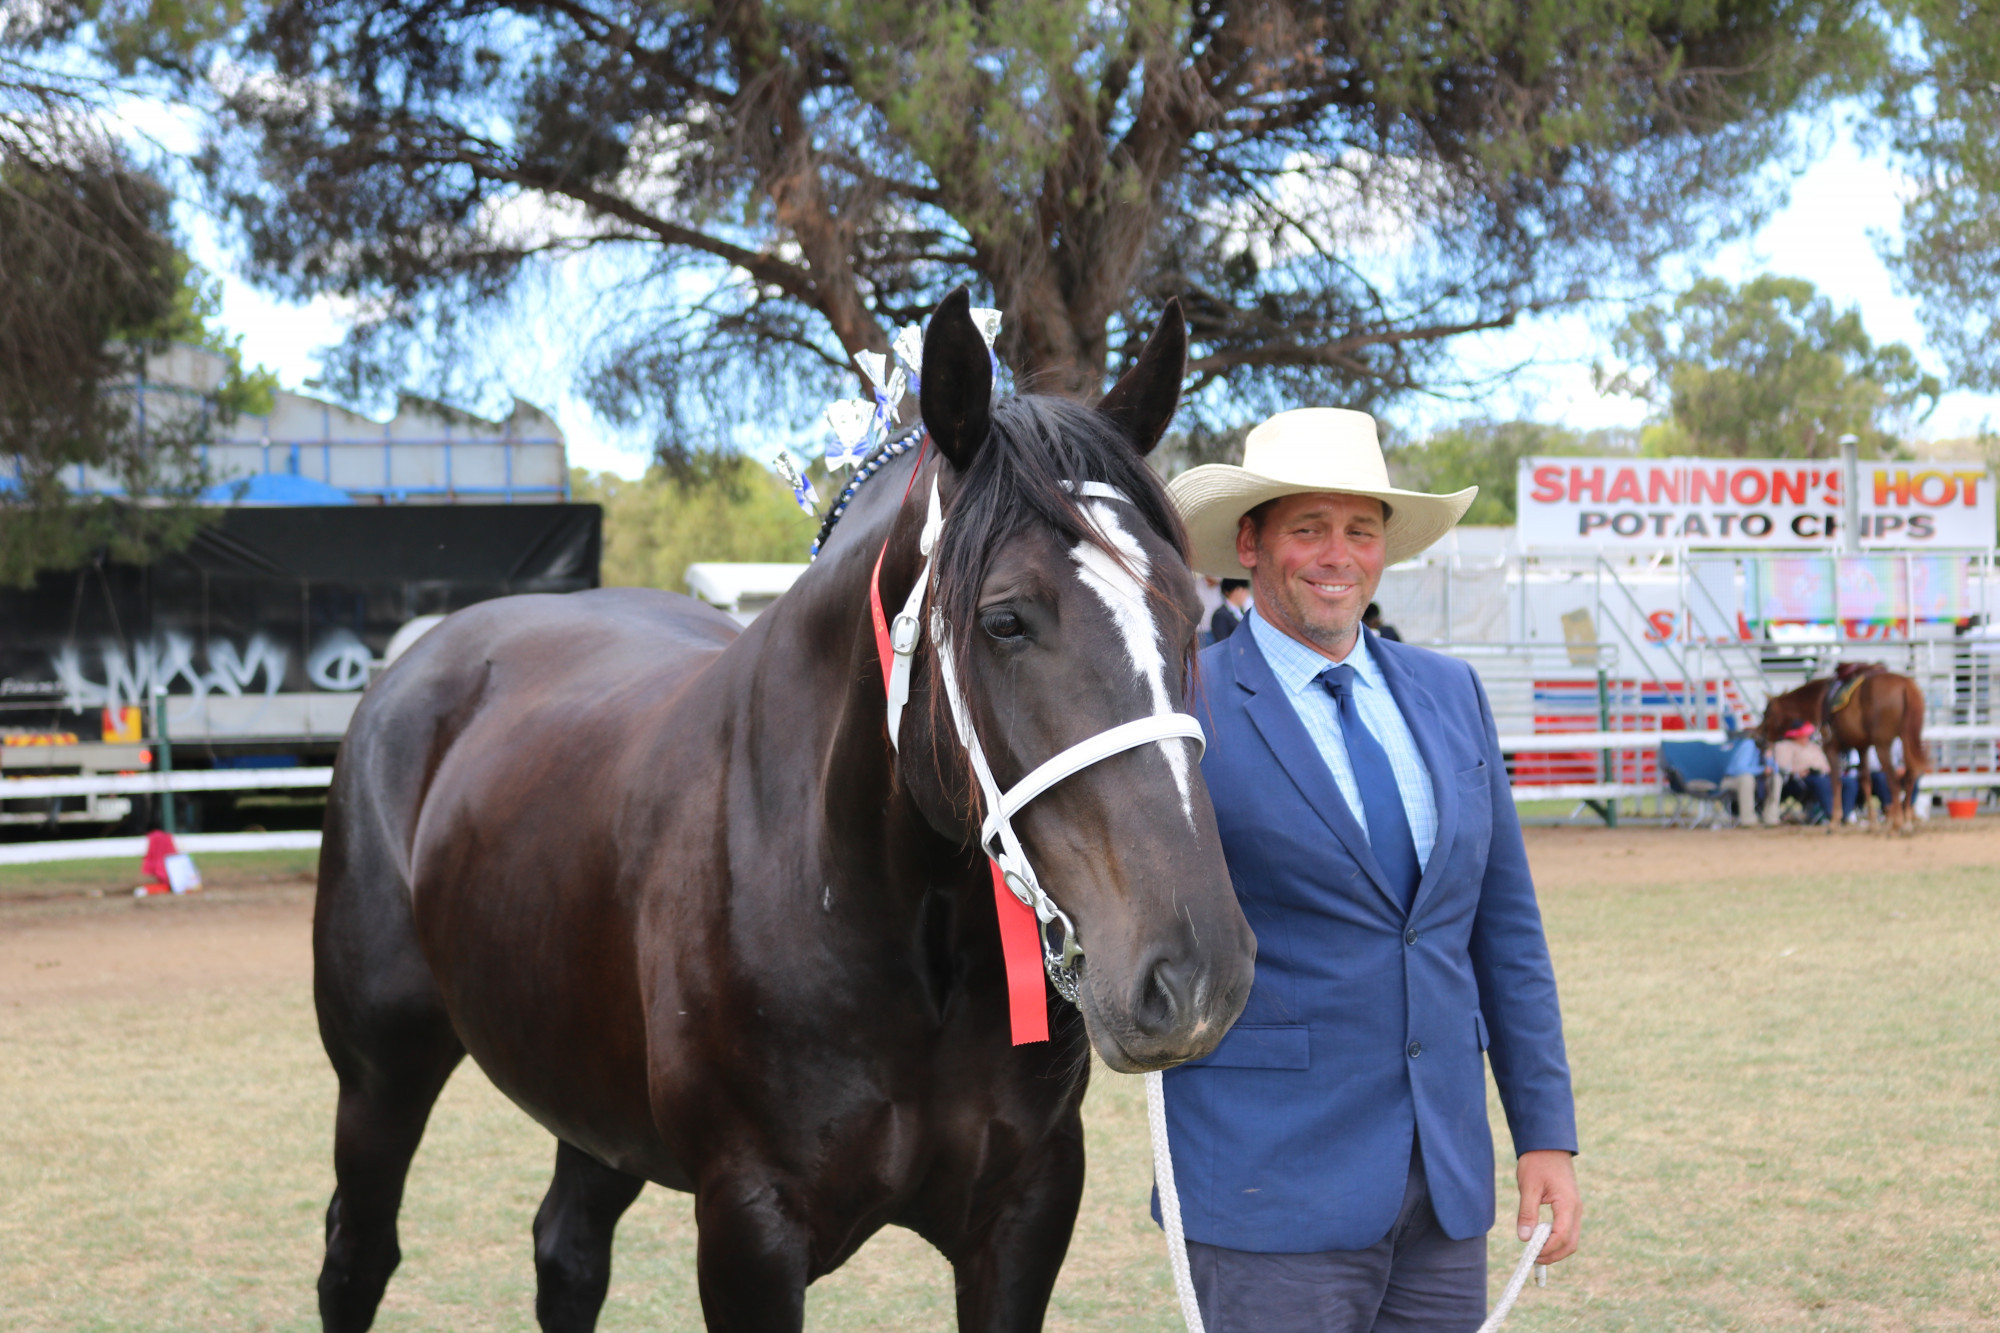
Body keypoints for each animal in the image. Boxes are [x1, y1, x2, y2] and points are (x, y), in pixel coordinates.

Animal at [310, 290, 1248, 1328]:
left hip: (592, 1096)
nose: (1195, 972)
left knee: (567, 1252)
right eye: (1004, 617)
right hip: (379, 1076)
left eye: (1184, 610)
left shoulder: (1027, 1211)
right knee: (358, 1255)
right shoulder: (749, 1227)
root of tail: (422, 658)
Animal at [1760, 664, 1928, 832]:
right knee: (1910, 776)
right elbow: (1865, 780)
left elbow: (1835, 781)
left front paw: (1834, 822)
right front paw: (1873, 823)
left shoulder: (1831, 747)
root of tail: (1906, 685)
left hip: (1883, 744)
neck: (1820, 699)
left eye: (1766, 713)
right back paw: (1907, 821)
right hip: (1907, 739)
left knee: (1893, 779)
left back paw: (1897, 823)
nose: (1760, 737)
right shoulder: (1862, 747)